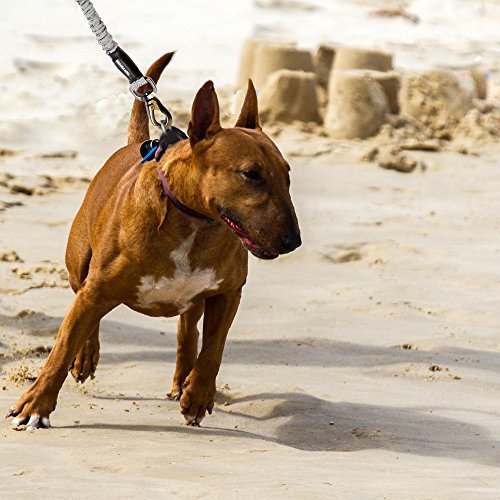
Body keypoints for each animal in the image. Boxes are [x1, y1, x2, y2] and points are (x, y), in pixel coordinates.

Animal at [7, 53, 301, 429]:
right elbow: (63, 346)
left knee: (188, 330)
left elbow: (214, 347)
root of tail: (136, 144)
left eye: (287, 174)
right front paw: (34, 407)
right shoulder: (97, 288)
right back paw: (86, 357)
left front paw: (198, 395)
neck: (194, 223)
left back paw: (183, 381)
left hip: (193, 298)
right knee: (83, 306)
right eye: (251, 174)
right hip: (79, 267)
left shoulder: (228, 292)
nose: (293, 241)